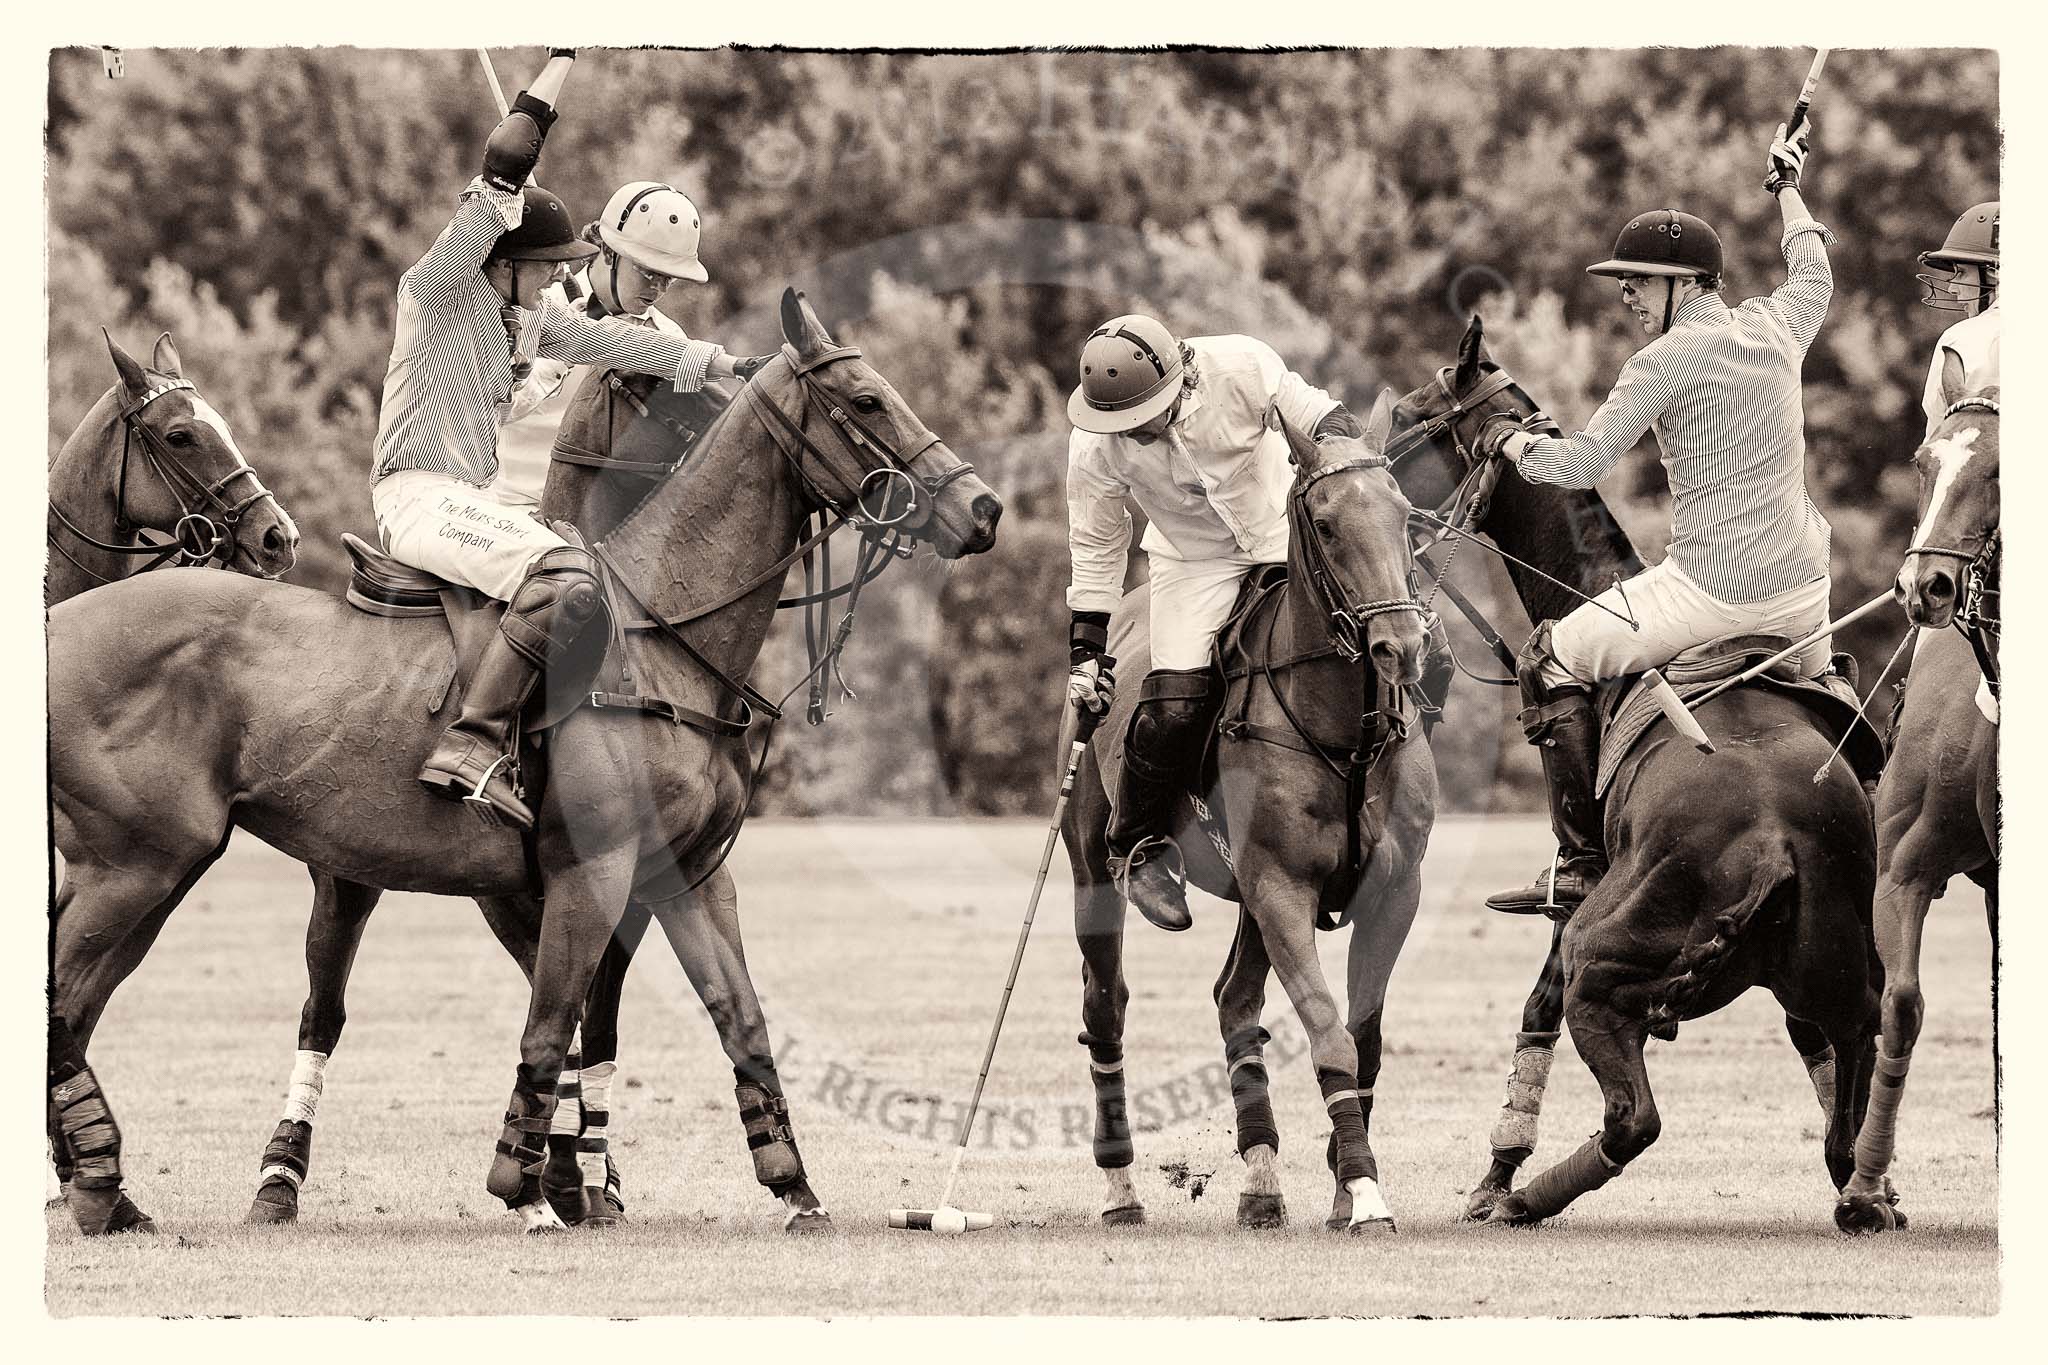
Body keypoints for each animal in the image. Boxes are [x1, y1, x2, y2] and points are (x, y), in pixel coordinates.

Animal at [1064, 388, 1433, 1236]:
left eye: (1404, 513)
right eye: (1325, 522)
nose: (1401, 646)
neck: (1346, 734)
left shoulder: (1393, 891)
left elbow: (1363, 1038)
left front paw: (1342, 1184)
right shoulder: (1281, 888)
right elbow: (1330, 1034)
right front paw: (1364, 1191)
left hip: (1248, 897)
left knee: (1234, 1000)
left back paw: (1261, 1180)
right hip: (1095, 873)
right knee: (1106, 1010)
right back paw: (1120, 1188)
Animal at [1392, 317, 1884, 1227]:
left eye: (1407, 415)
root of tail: (1772, 842)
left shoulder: (1572, 917)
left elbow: (1536, 1006)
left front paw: (1496, 1175)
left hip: (1606, 954)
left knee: (1636, 1118)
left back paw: (1527, 1200)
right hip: (1837, 970)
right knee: (1848, 1076)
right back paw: (1870, 1193)